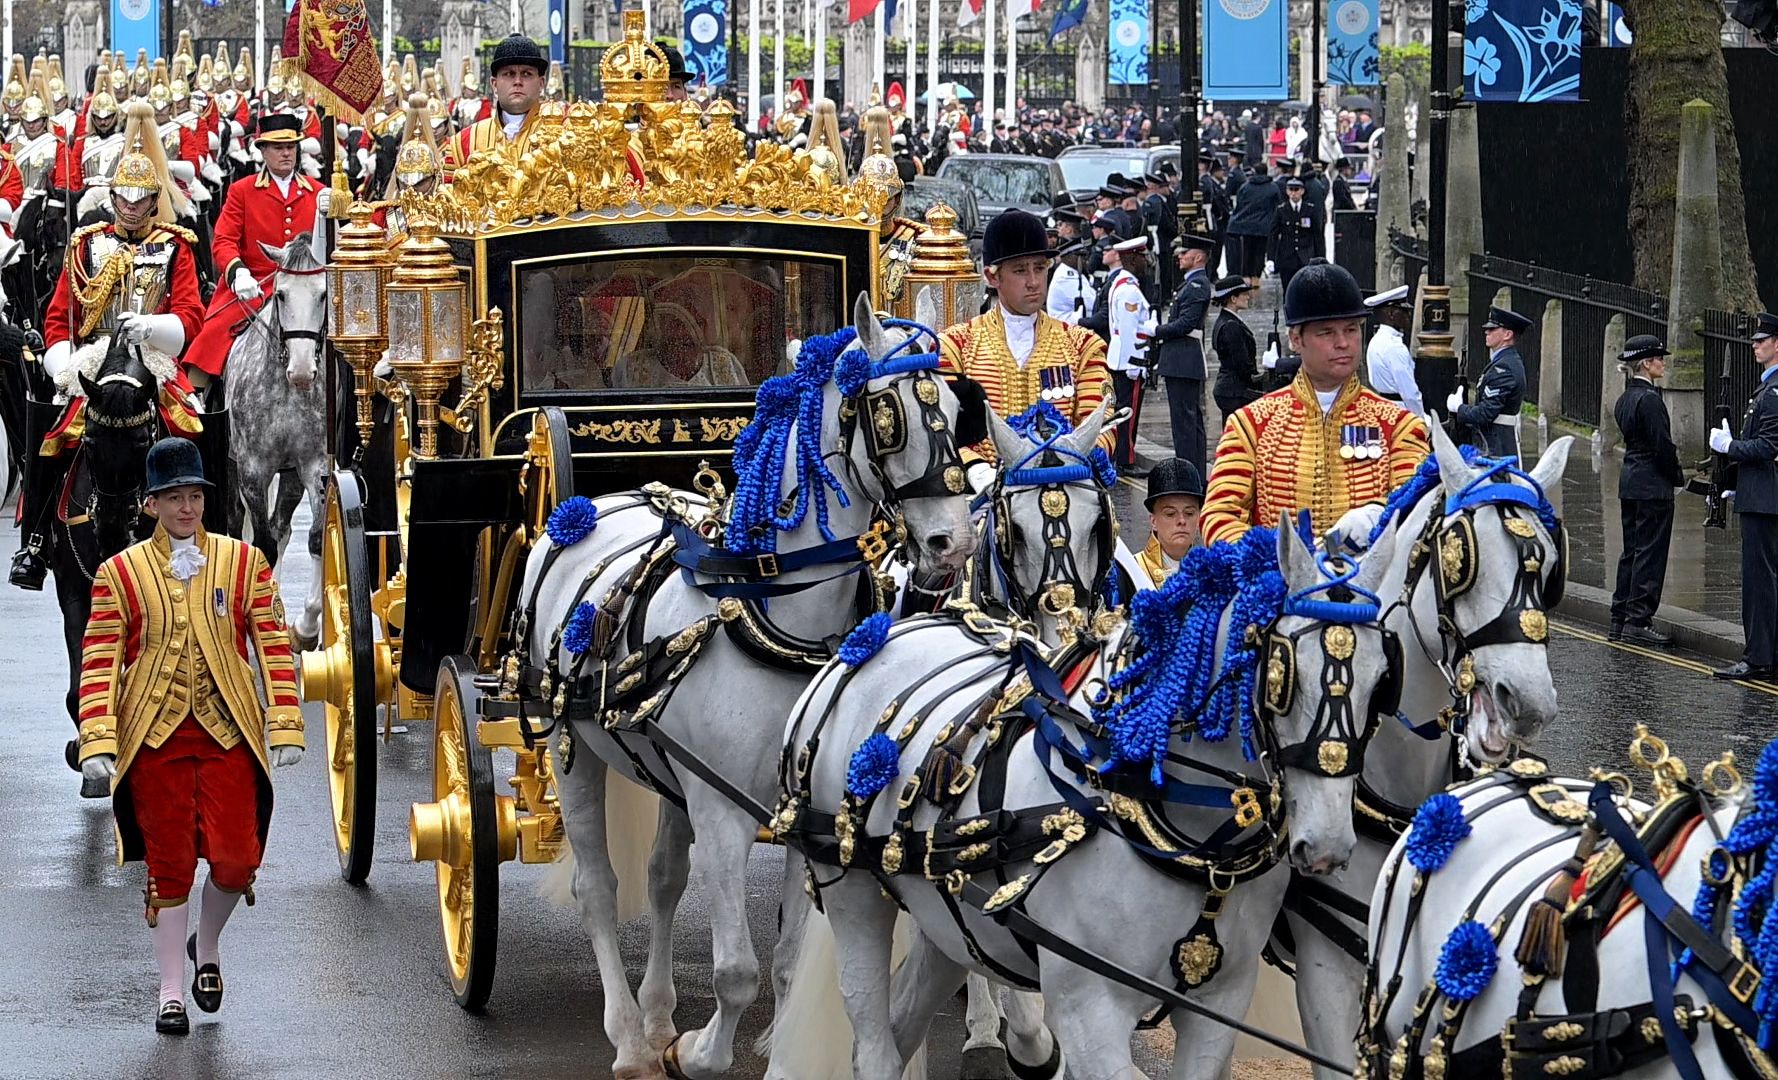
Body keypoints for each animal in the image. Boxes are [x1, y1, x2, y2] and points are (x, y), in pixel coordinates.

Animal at [519, 295, 981, 1080]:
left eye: (954, 404)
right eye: (888, 412)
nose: (954, 541)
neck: (771, 612)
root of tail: (597, 503)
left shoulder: (793, 814)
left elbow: (788, 964)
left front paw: (711, 1042)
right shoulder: (725, 813)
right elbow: (737, 971)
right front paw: (699, 1053)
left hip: (670, 772)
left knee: (664, 876)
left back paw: (657, 1015)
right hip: (566, 743)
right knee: (598, 888)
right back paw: (628, 1037)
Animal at [771, 515, 1408, 1080]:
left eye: (1383, 680)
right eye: (1279, 673)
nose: (1327, 846)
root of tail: (869, 639)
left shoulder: (1219, 1004)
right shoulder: (1088, 1006)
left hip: (949, 917)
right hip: (853, 895)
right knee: (874, 1043)